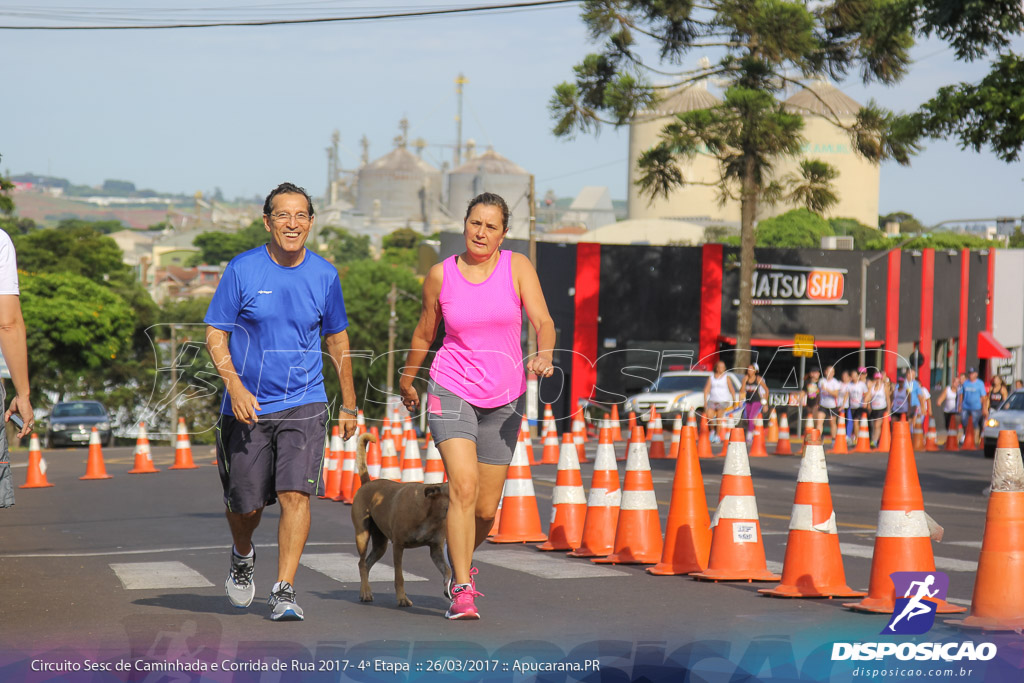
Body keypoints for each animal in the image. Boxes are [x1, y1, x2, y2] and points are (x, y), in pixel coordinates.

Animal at [352, 436, 448, 606]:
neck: (429, 512)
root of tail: (367, 483)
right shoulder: (398, 546)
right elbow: (399, 576)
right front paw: (402, 598)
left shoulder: (435, 549)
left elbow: (447, 570)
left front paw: (449, 587)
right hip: (362, 536)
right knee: (362, 563)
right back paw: (365, 592)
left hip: (380, 545)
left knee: (367, 564)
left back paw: (366, 588)